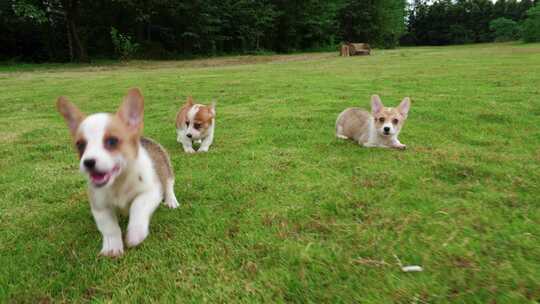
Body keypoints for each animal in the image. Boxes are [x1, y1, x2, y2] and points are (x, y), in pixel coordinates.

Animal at [57, 88, 179, 256]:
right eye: (80, 145)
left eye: (112, 141)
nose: (88, 162)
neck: (118, 182)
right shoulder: (100, 206)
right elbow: (109, 227)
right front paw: (112, 247)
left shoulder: (150, 192)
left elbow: (138, 206)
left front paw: (135, 234)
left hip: (166, 169)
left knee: (169, 185)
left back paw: (171, 200)